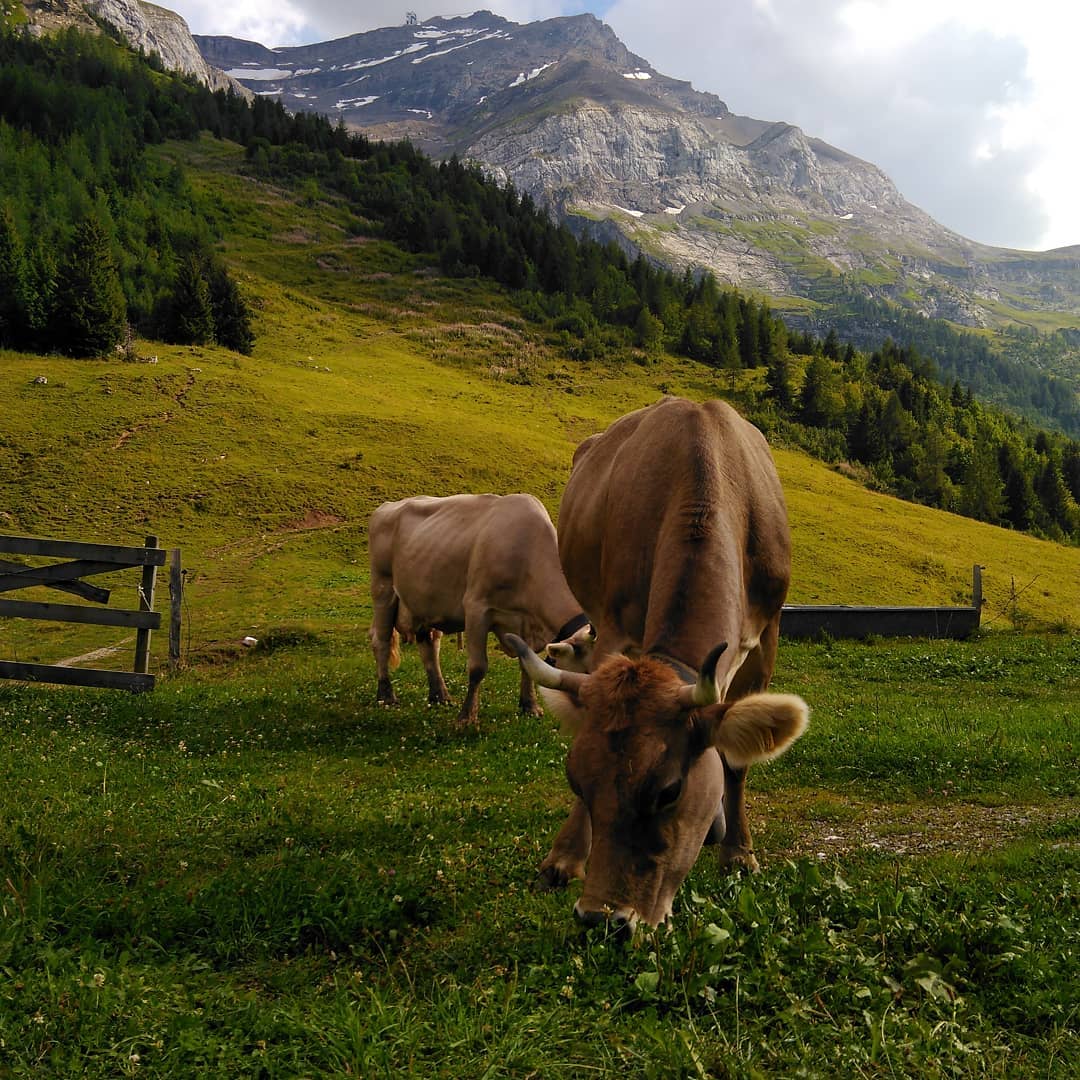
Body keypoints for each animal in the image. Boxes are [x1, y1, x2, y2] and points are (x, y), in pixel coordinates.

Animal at [368, 493, 589, 725]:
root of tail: (388, 506)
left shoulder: (525, 621)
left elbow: (528, 664)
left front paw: (530, 706)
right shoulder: (476, 608)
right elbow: (477, 668)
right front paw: (466, 717)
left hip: (424, 600)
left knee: (429, 645)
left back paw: (440, 695)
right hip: (383, 588)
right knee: (381, 641)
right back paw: (386, 695)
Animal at [506, 396, 808, 930]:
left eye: (668, 791)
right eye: (574, 779)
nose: (602, 917)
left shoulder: (766, 637)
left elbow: (737, 761)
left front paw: (737, 851)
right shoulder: (614, 628)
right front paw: (564, 857)